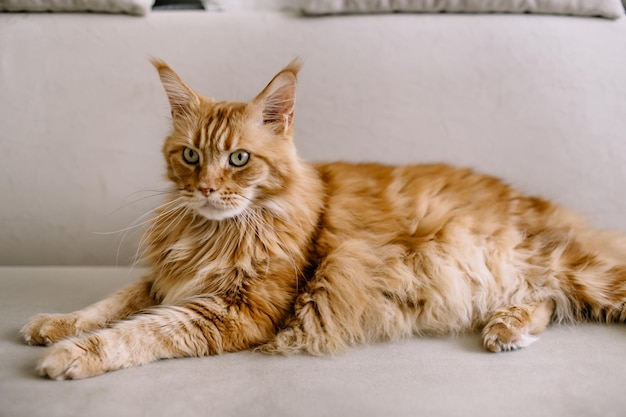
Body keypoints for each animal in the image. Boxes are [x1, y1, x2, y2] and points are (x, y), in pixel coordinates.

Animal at [20, 58, 624, 380]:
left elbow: (141, 330)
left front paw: (71, 355)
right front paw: (53, 325)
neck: (216, 230)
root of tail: (533, 200)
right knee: (543, 300)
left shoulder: (236, 310)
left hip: (571, 267)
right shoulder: (167, 278)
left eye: (239, 159)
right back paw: (505, 330)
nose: (208, 189)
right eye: (190, 156)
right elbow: (108, 304)